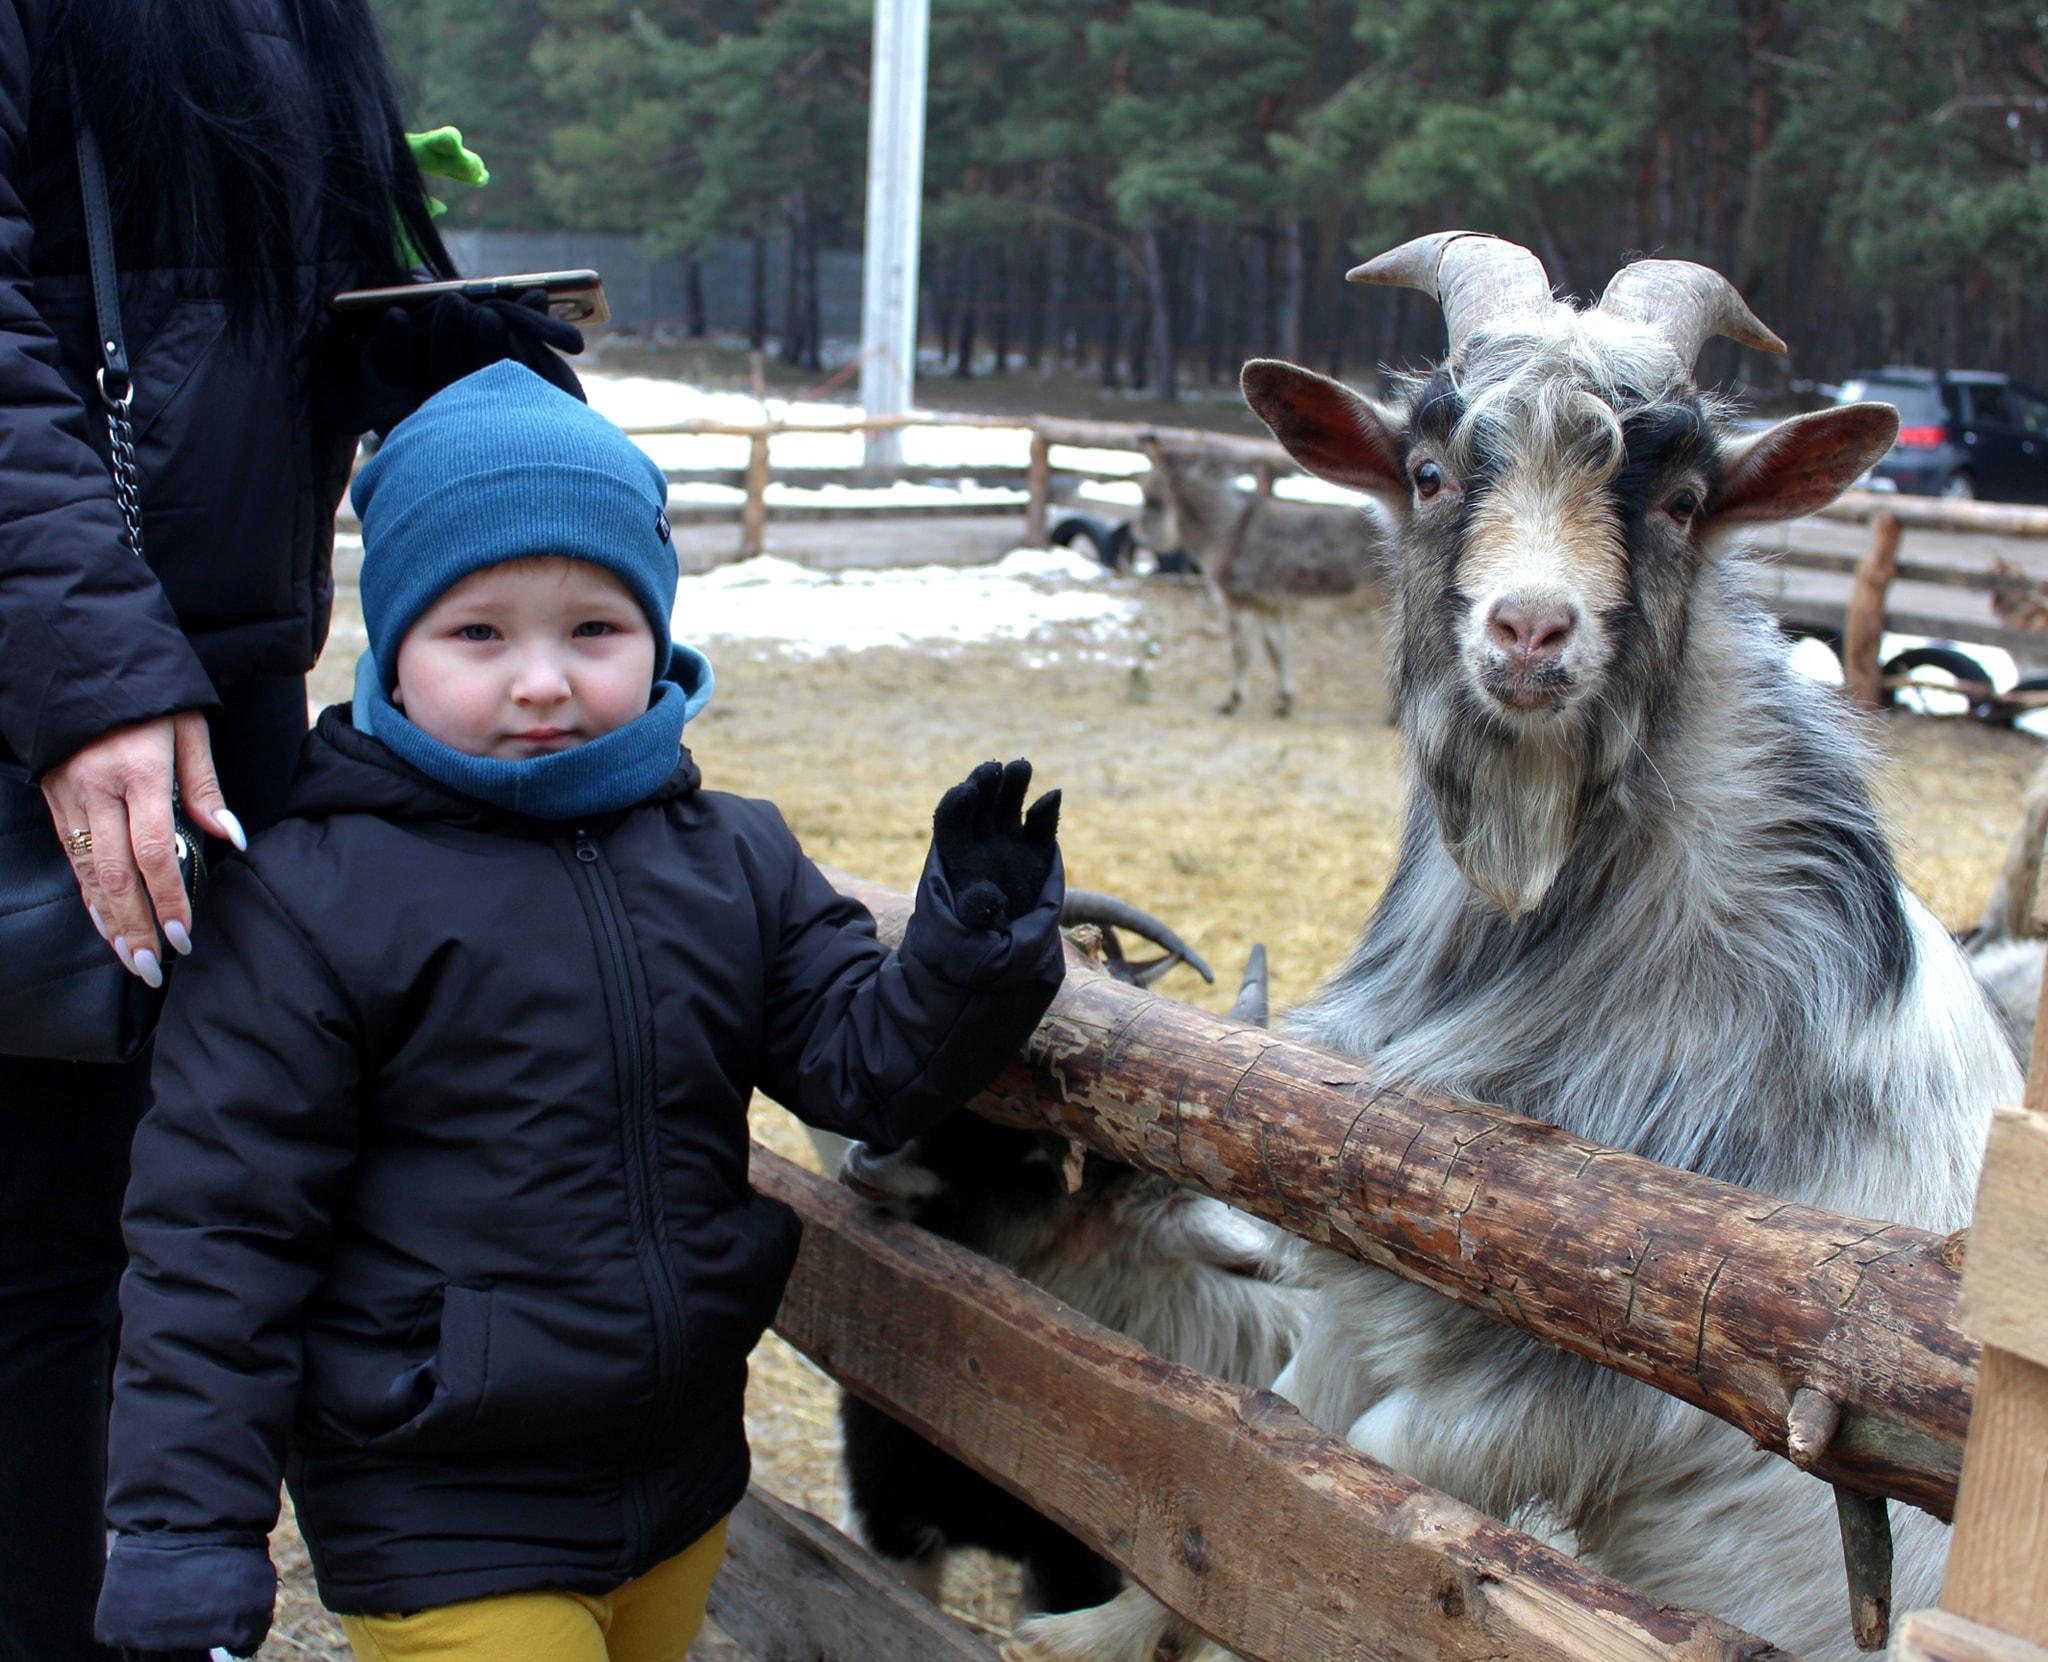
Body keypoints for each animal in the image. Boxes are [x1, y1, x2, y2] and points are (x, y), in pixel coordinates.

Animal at [1138, 435, 1392, 712]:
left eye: (1152, 501)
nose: (1136, 536)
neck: (1228, 532)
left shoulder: (1240, 604)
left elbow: (1241, 653)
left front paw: (1233, 701)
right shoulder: (1268, 605)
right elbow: (1277, 651)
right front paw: (1284, 700)